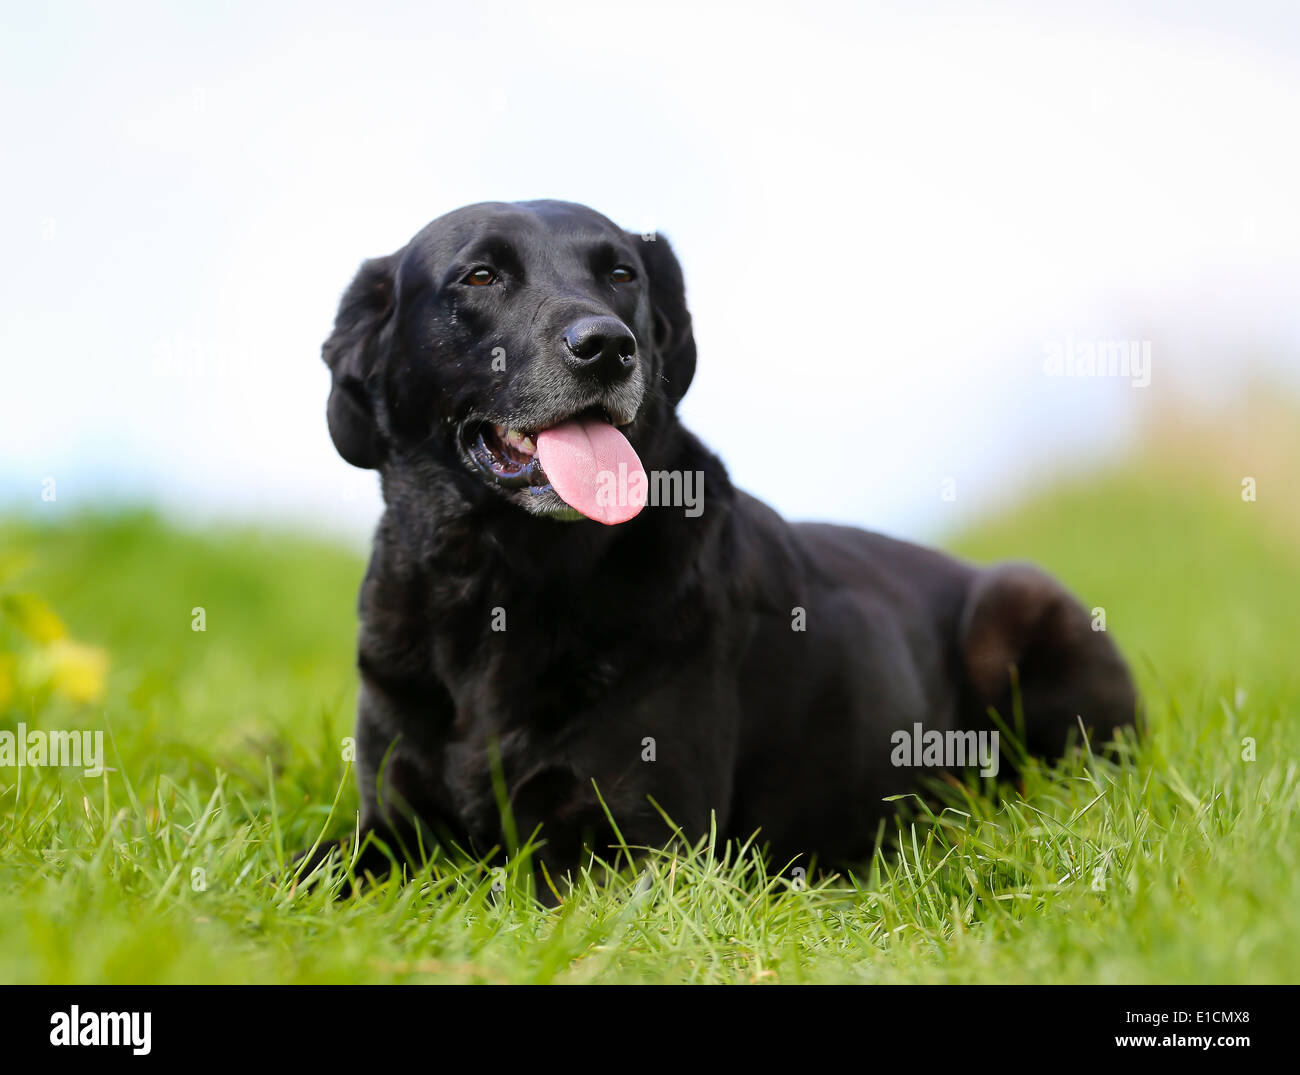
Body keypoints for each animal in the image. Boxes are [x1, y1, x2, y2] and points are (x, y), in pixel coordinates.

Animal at [317, 200, 1138, 883]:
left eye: (621, 273)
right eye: (481, 275)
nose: (607, 346)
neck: (502, 583)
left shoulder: (643, 845)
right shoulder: (387, 825)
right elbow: (310, 872)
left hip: (1021, 594)